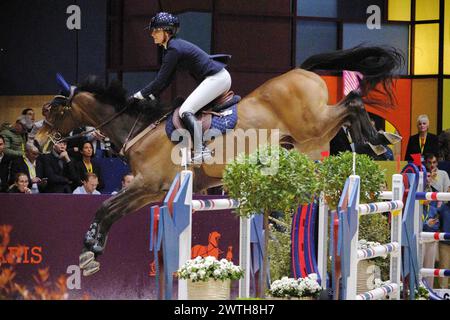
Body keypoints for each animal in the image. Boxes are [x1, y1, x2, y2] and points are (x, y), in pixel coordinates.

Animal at [35, 45, 400, 278]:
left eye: (52, 111)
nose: (37, 141)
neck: (139, 129)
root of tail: (302, 71)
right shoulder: (151, 191)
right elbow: (112, 211)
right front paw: (92, 252)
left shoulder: (147, 185)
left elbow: (105, 207)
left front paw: (88, 249)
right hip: (309, 139)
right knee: (349, 109)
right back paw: (376, 139)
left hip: (313, 127)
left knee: (352, 101)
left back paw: (375, 140)